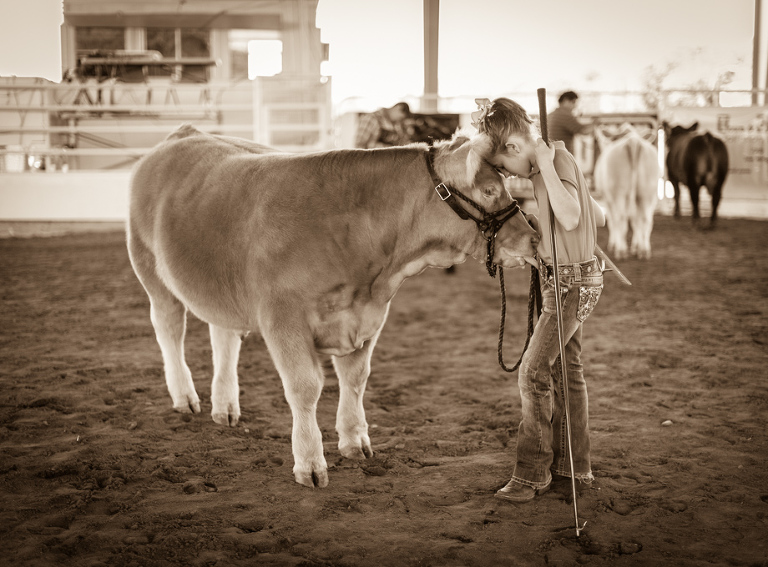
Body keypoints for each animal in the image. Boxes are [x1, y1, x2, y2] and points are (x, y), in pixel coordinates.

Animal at [592, 124, 660, 262]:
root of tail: (632, 140)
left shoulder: (607, 199)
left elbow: (612, 221)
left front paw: (613, 244)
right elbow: (635, 220)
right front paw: (635, 247)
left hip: (619, 192)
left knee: (620, 218)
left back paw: (621, 250)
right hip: (647, 192)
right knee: (645, 219)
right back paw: (644, 250)